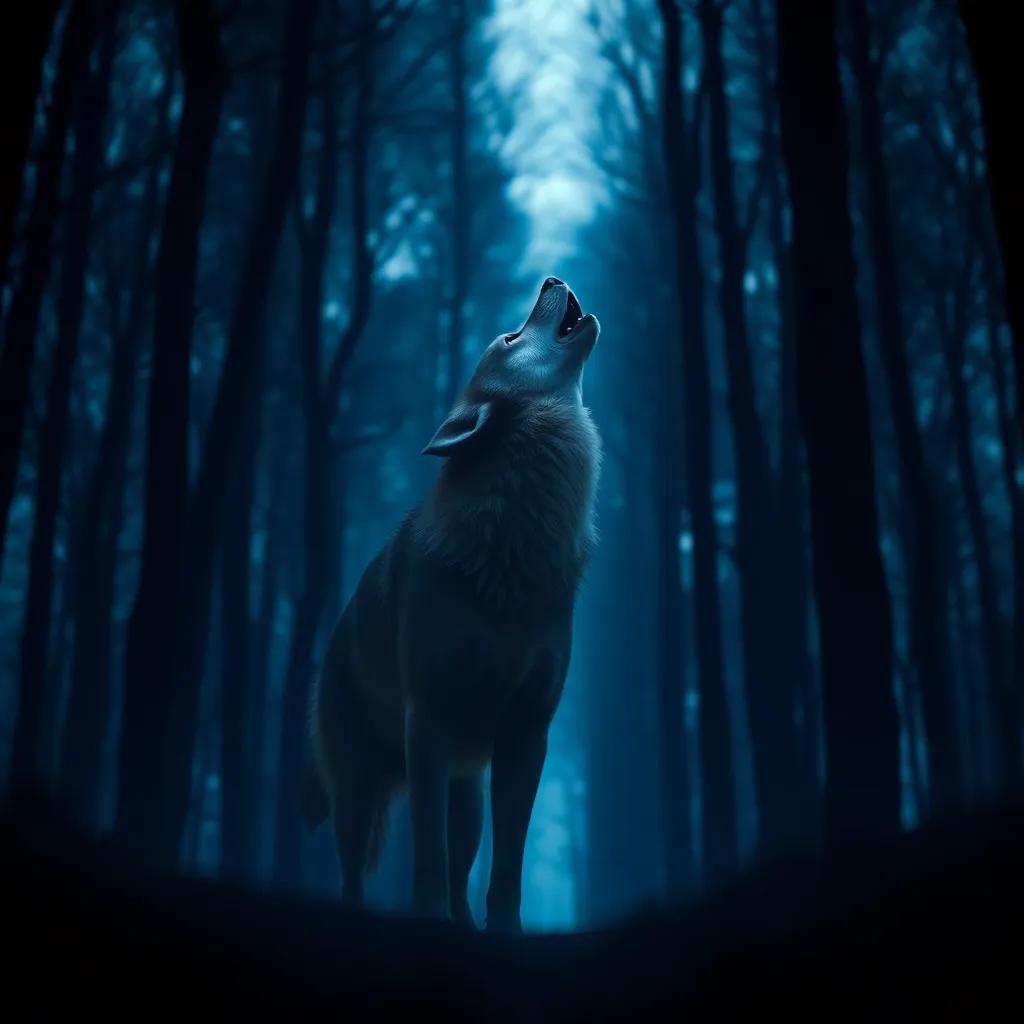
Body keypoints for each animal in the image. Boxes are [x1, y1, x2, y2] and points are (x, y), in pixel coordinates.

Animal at [303, 277, 601, 931]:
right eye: (510, 338)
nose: (550, 281)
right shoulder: (429, 724)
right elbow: (428, 865)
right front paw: (428, 920)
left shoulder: (527, 735)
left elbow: (505, 873)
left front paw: (506, 934)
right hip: (358, 795)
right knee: (353, 876)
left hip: (466, 793)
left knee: (464, 870)